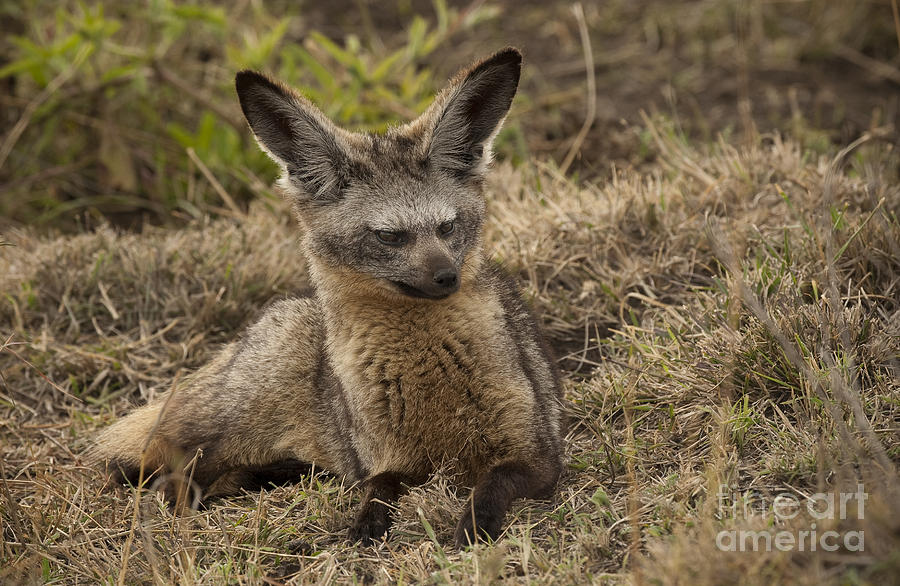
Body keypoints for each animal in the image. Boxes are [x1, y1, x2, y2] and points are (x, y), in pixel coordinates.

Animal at [91, 48, 564, 544]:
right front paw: (365, 526)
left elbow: (493, 485)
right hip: (230, 425)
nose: (446, 278)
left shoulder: (537, 458)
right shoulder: (390, 460)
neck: (430, 376)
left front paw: (474, 526)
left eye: (448, 227)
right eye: (389, 236)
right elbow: (379, 487)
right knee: (165, 470)